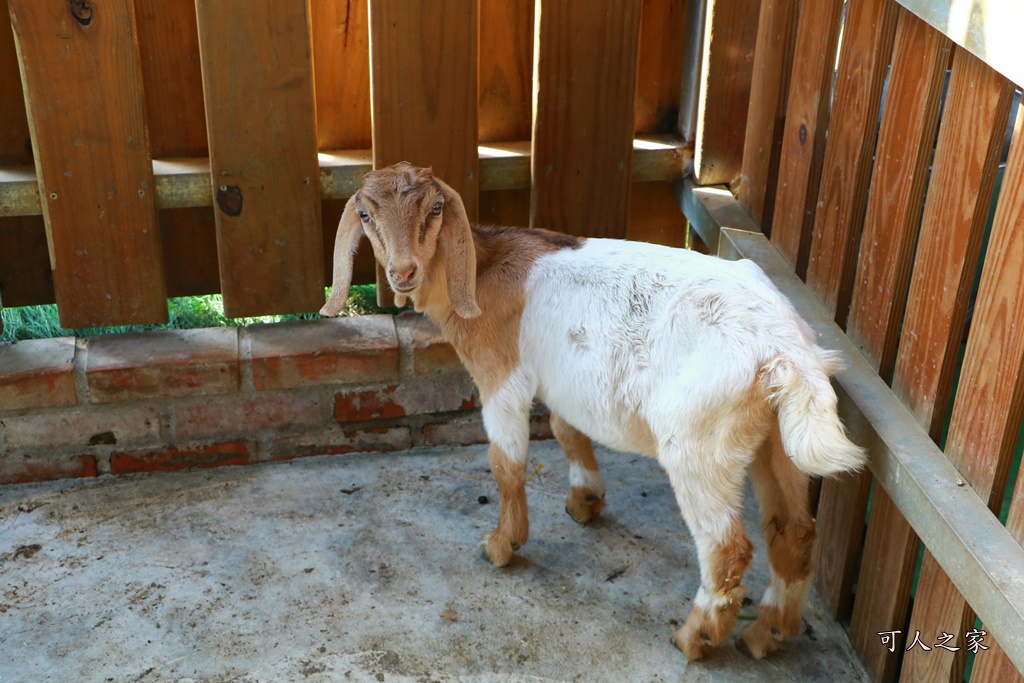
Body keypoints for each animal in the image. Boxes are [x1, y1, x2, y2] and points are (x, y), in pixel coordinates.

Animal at [319, 163, 864, 663]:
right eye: (365, 214)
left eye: (434, 209)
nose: (402, 272)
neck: (483, 272)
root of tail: (786, 350)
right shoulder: (566, 381)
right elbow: (566, 429)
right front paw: (585, 500)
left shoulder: (502, 378)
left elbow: (506, 464)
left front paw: (502, 545)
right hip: (777, 442)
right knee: (793, 531)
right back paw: (767, 634)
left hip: (699, 446)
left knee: (726, 548)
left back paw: (696, 638)